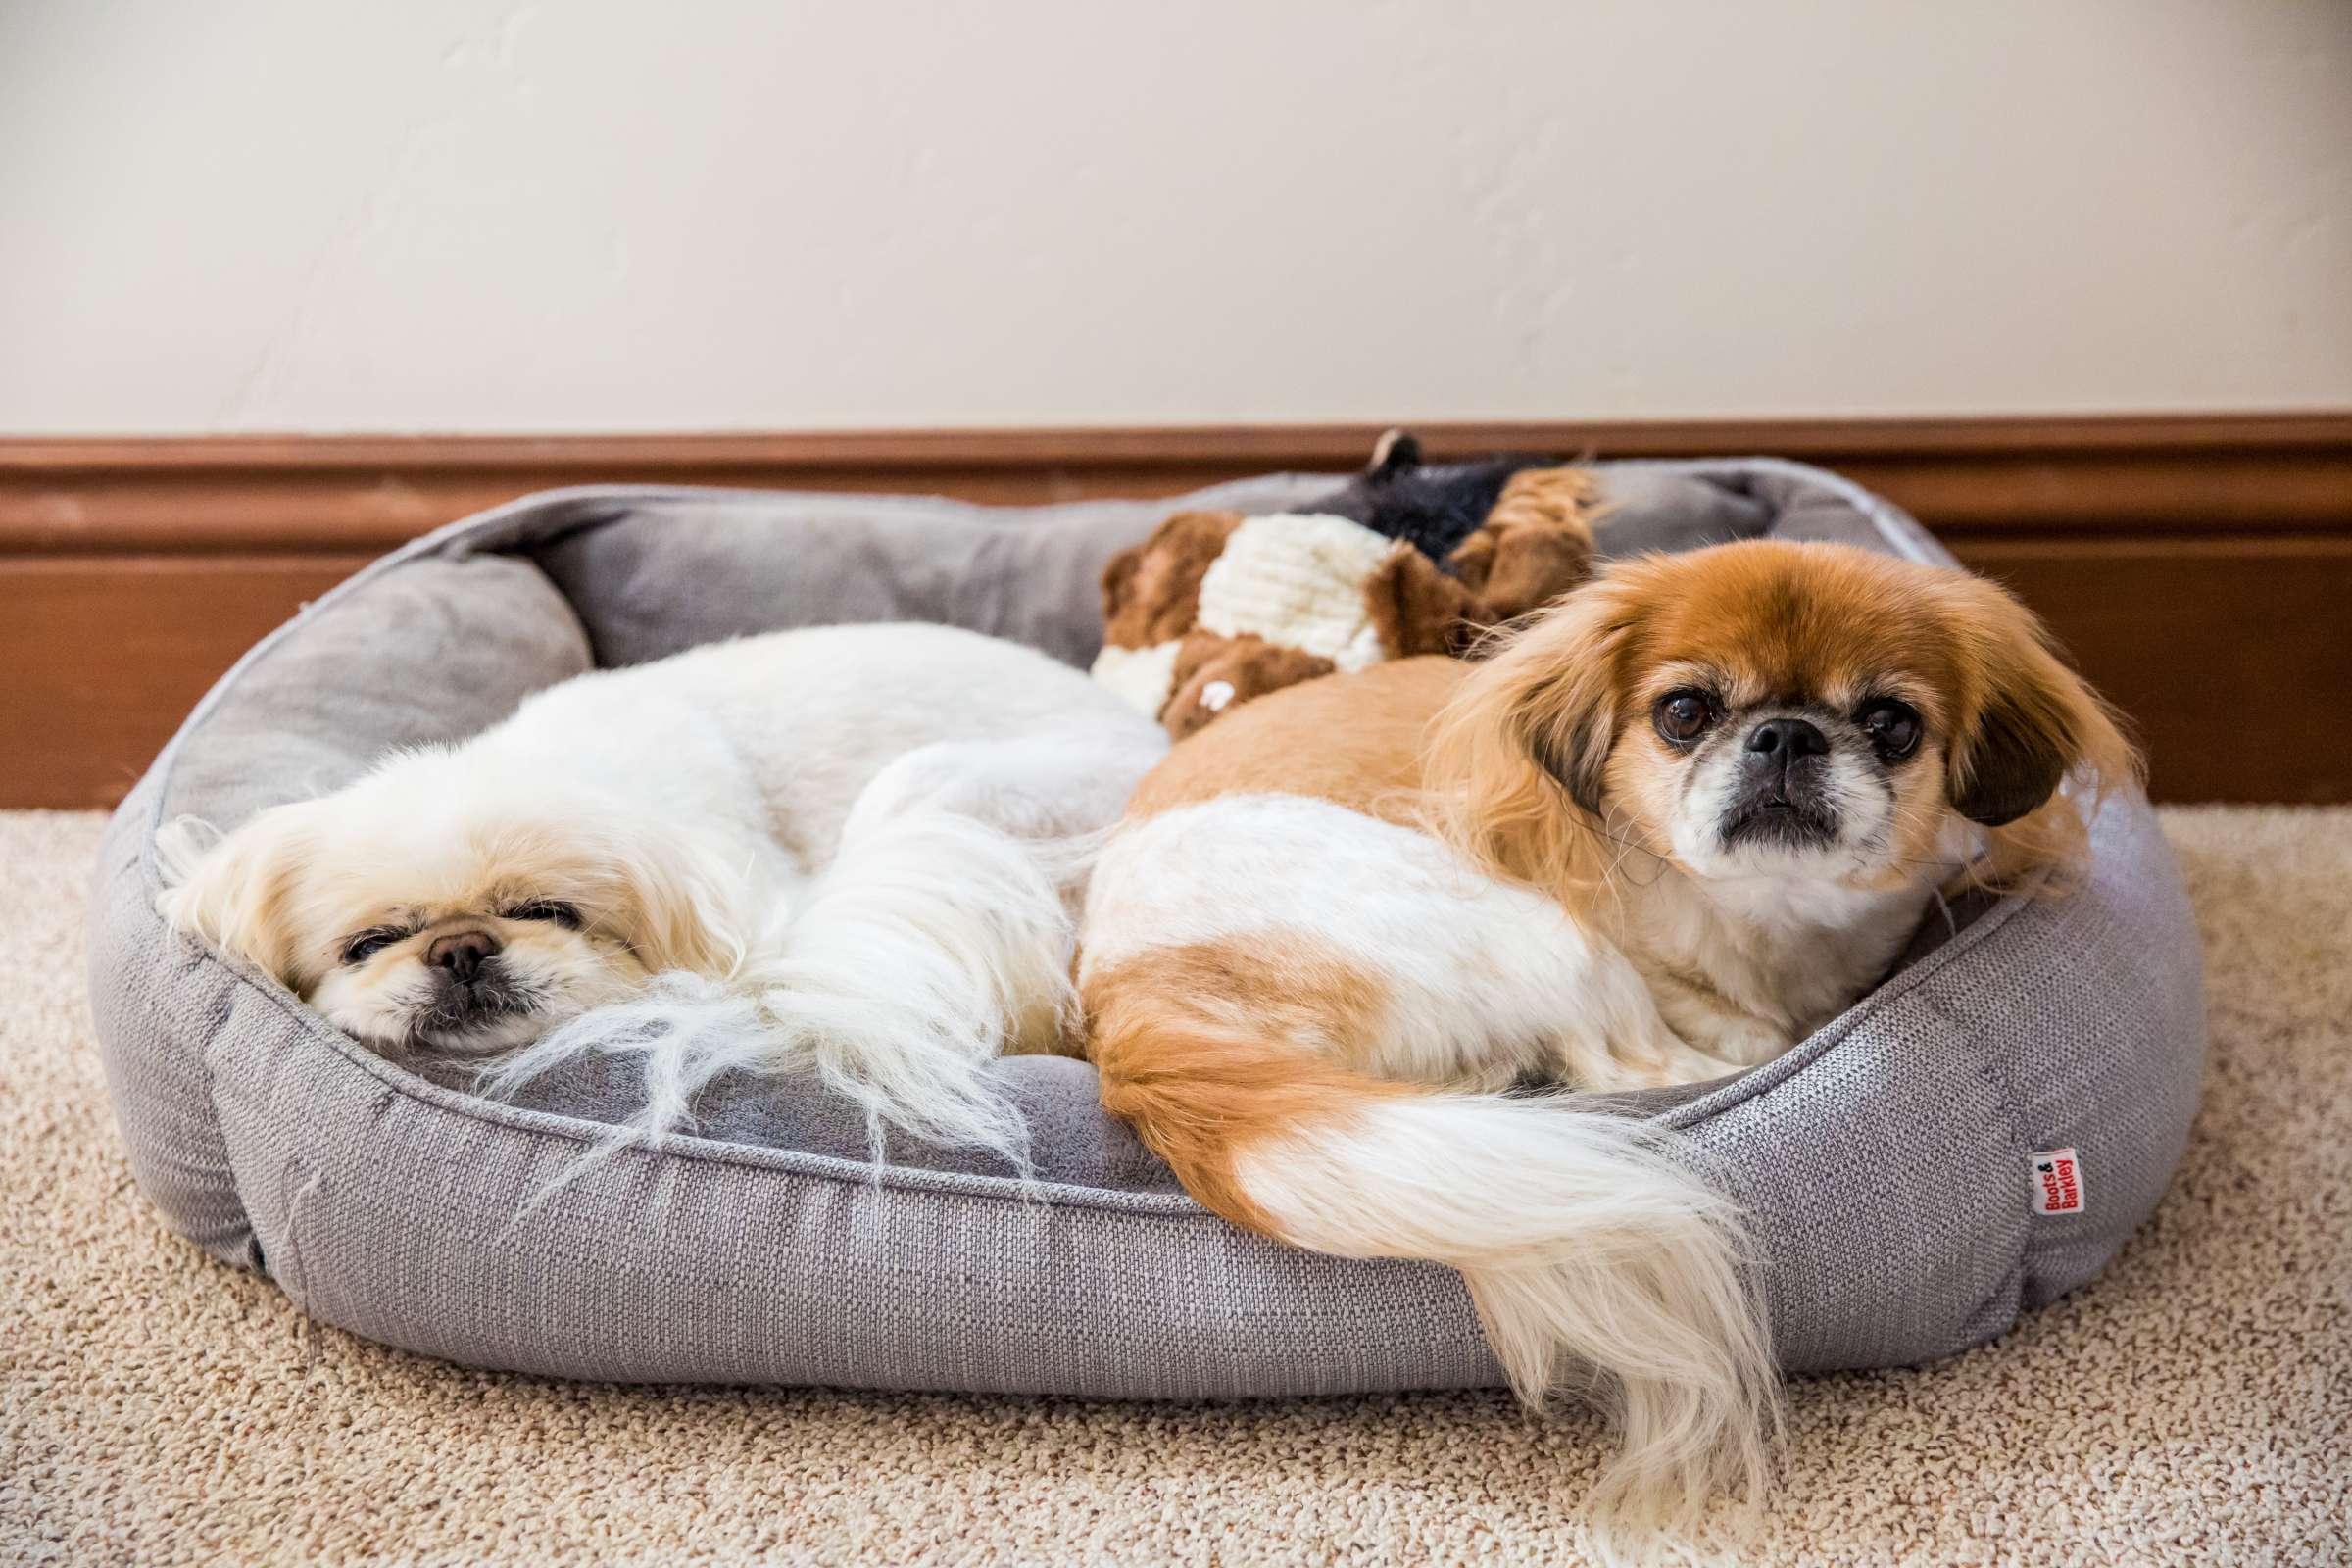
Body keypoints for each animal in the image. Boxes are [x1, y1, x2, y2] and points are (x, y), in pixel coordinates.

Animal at [1077, 543, 2144, 1560]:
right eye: (1684, 712)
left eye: (1891, 724)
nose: (1788, 733)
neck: (1766, 922)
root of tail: (1129, 1001)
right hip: (1541, 934)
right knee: (1629, 1068)